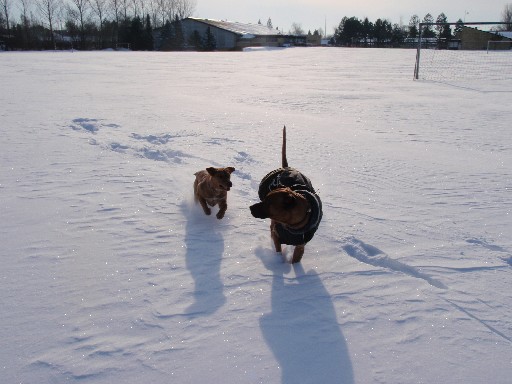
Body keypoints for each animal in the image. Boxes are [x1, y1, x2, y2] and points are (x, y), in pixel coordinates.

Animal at [250, 127, 322, 262]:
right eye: (264, 199)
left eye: (268, 203)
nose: (250, 208)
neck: (293, 226)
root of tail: (286, 167)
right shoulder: (277, 234)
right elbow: (278, 248)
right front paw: (278, 262)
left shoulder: (300, 246)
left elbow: (296, 259)